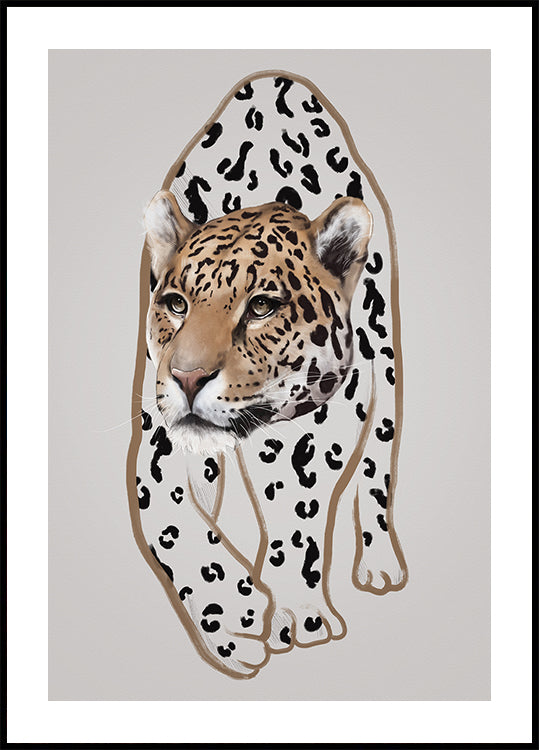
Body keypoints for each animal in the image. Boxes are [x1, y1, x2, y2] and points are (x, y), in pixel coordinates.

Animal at [127, 70, 407, 679]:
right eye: (177, 304)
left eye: (261, 307)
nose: (187, 378)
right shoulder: (159, 439)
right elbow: (174, 522)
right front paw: (233, 615)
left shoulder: (319, 427)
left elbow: (298, 523)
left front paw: (298, 615)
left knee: (377, 470)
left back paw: (379, 562)